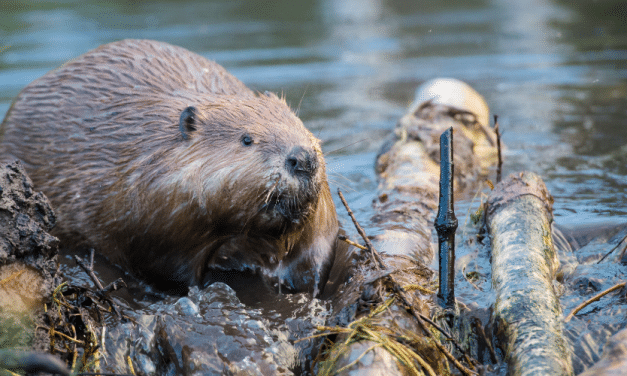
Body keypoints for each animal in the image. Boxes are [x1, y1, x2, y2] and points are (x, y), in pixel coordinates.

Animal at [0, 39, 338, 296]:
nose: (303, 158)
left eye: (302, 126)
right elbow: (167, 272)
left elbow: (317, 253)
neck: (152, 150)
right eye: (247, 139)